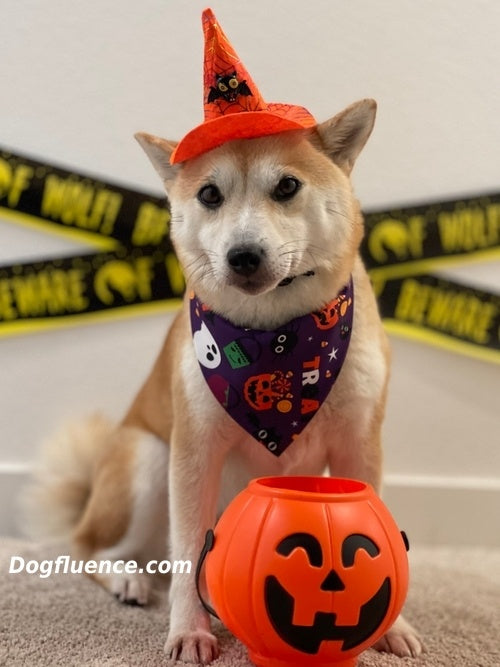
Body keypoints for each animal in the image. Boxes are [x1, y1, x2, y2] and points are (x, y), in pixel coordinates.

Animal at [24, 7, 422, 664]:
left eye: (287, 187)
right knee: (95, 552)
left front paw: (392, 626)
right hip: (148, 460)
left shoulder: (361, 442)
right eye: (210, 194)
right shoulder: (195, 449)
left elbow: (378, 527)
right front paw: (189, 629)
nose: (243, 255)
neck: (280, 343)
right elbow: (189, 551)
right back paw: (129, 580)